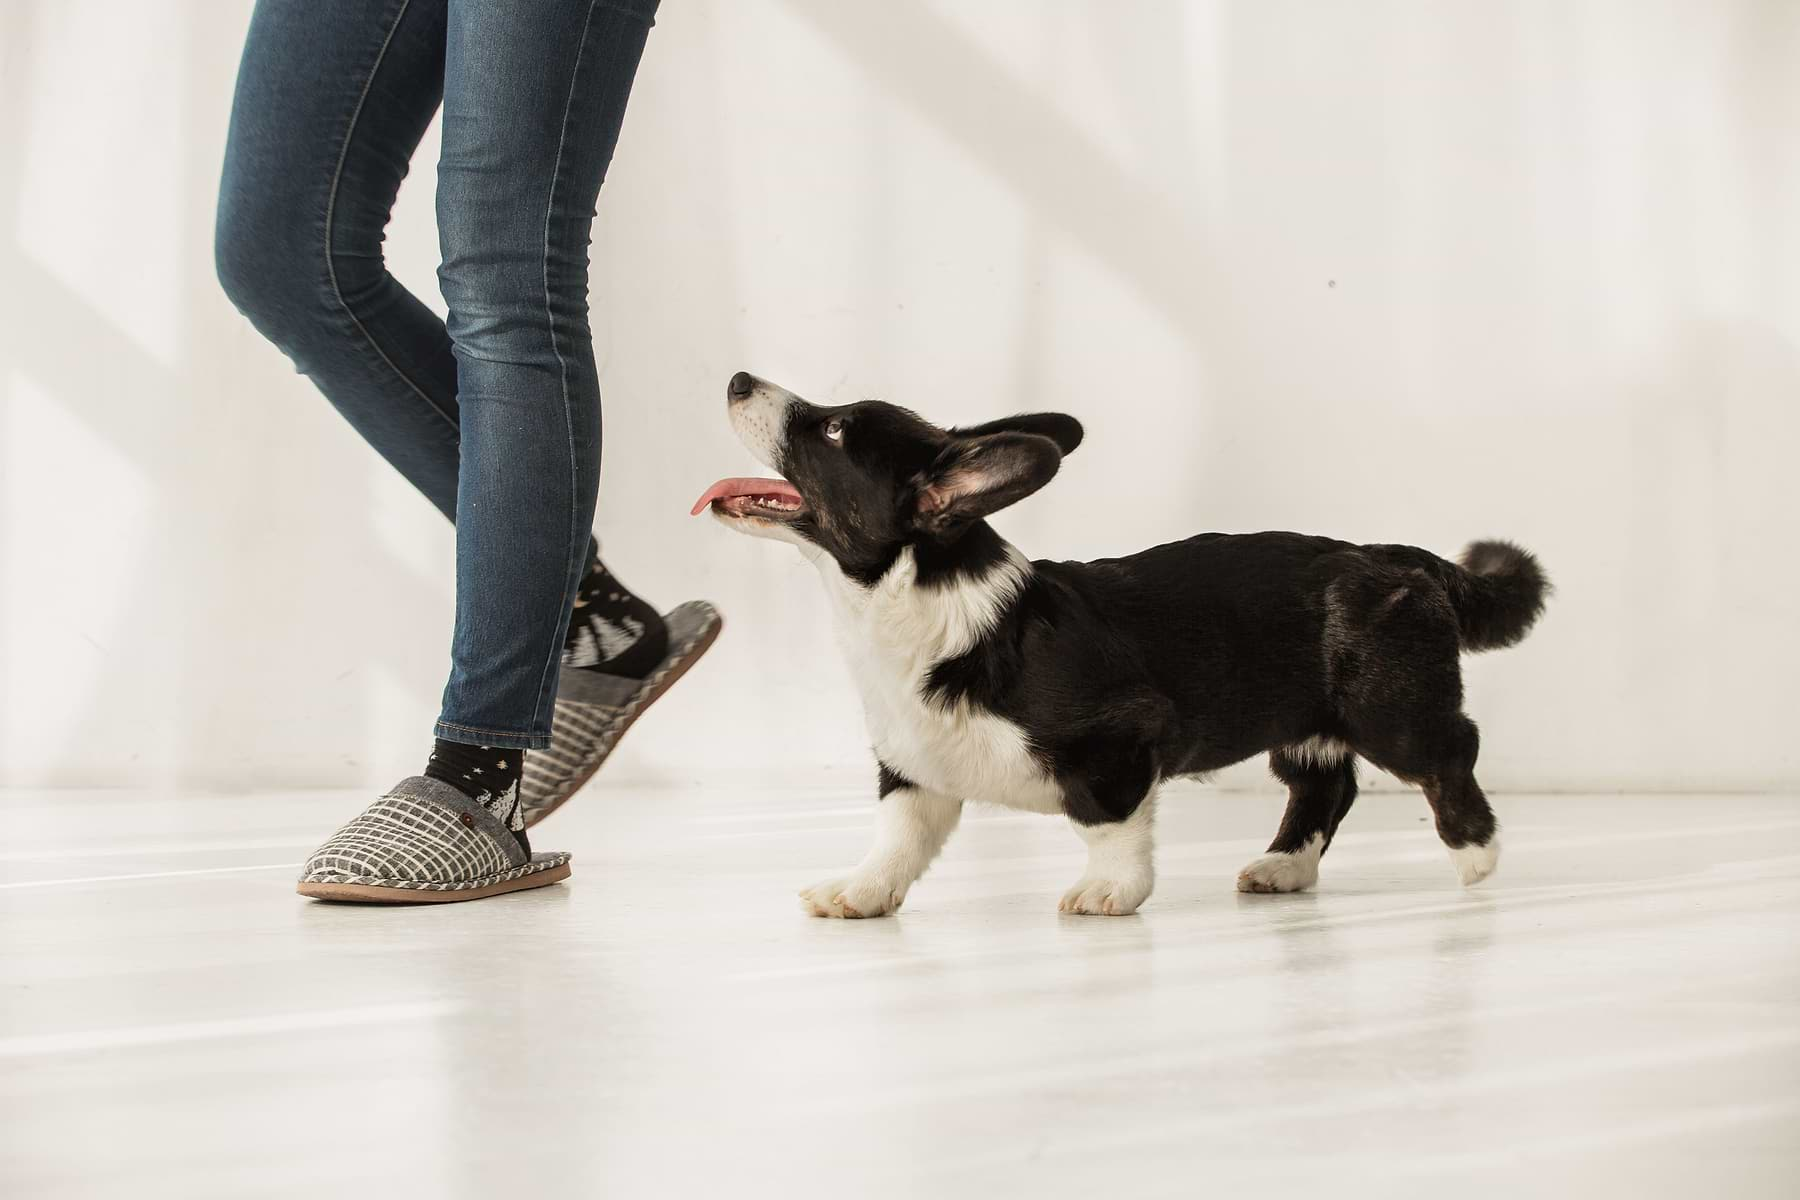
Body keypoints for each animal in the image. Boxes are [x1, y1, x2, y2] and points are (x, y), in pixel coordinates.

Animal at [691, 370, 1548, 913]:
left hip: (1389, 708)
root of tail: (1399, 555)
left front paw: (1110, 892)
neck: (903, 597)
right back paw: (1284, 866)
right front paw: (860, 892)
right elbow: (898, 838)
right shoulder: (912, 767)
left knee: (1448, 751)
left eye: (833, 429)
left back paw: (1476, 853)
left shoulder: (1119, 740)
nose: (737, 378)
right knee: (1323, 786)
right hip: (1309, 723)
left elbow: (1107, 822)